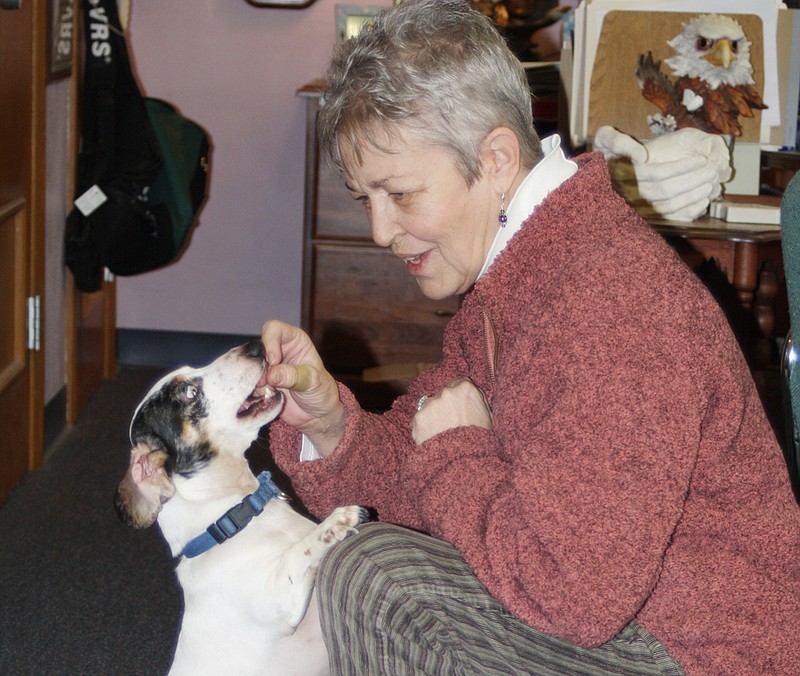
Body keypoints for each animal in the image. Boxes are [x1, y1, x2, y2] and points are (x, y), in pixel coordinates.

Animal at [115, 340, 366, 672]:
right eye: (189, 393)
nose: (256, 346)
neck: (236, 516)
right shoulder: (280, 594)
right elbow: (300, 550)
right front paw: (336, 521)